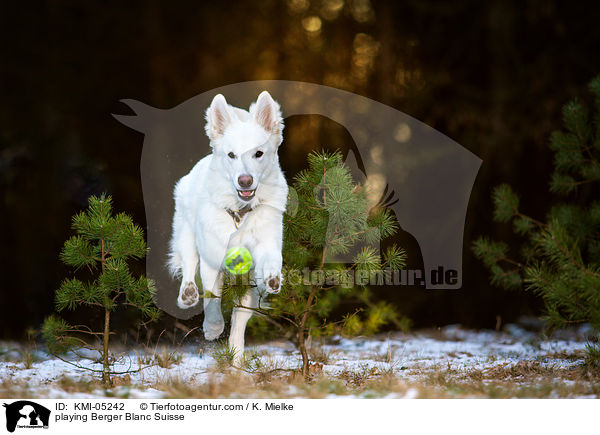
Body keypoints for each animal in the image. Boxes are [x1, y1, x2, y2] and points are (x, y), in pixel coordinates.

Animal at [166, 91, 288, 364]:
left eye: (258, 154)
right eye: (231, 155)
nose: (245, 180)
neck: (240, 213)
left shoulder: (267, 242)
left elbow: (271, 260)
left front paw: (272, 278)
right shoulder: (212, 259)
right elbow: (212, 297)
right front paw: (212, 328)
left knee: (240, 317)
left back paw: (237, 356)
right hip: (185, 232)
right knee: (188, 263)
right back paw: (187, 294)